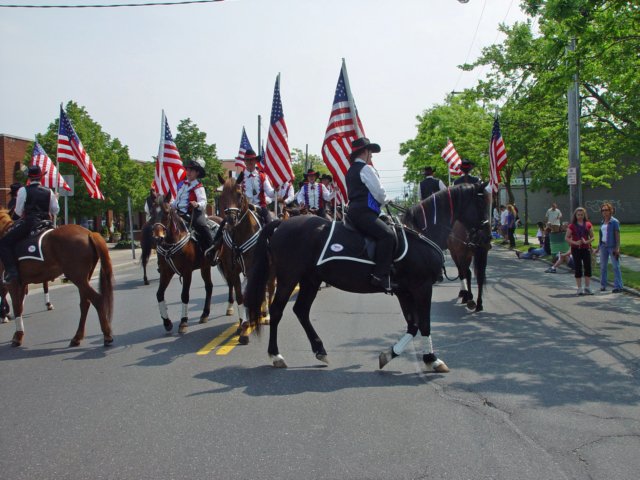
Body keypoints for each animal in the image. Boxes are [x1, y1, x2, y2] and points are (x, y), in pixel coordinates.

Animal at [0, 208, 114, 346]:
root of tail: (89, 233)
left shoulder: (11, 283)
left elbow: (17, 307)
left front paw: (17, 336)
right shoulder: (21, 284)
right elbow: (19, 307)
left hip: (77, 278)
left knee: (97, 299)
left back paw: (107, 335)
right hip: (83, 279)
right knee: (85, 303)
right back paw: (77, 337)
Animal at [151, 202, 221, 334]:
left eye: (166, 213)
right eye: (150, 213)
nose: (157, 238)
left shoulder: (187, 272)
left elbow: (184, 295)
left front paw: (183, 322)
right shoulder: (166, 272)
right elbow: (159, 294)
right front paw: (167, 322)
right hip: (205, 267)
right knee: (209, 287)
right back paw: (205, 314)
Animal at [245, 182, 490, 370]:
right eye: (483, 203)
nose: (486, 237)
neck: (420, 234)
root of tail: (281, 223)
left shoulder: (405, 291)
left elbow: (413, 325)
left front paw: (389, 355)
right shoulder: (422, 287)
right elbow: (424, 324)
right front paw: (432, 359)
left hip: (310, 279)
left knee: (301, 310)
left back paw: (320, 350)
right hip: (288, 278)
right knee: (277, 310)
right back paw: (276, 355)